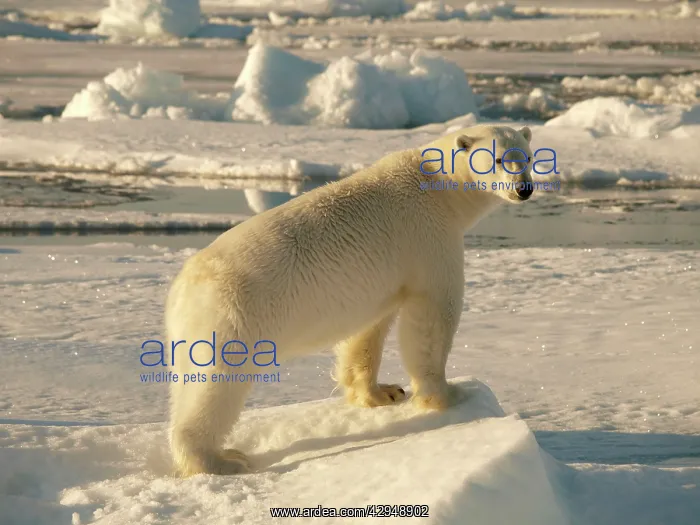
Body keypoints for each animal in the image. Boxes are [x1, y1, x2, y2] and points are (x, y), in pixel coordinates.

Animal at [165, 124, 534, 476]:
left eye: (528, 157)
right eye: (499, 159)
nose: (524, 189)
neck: (437, 185)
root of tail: (180, 289)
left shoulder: (383, 281)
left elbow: (368, 331)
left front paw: (383, 392)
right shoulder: (430, 238)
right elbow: (432, 316)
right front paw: (450, 394)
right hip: (233, 316)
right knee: (216, 385)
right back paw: (220, 460)